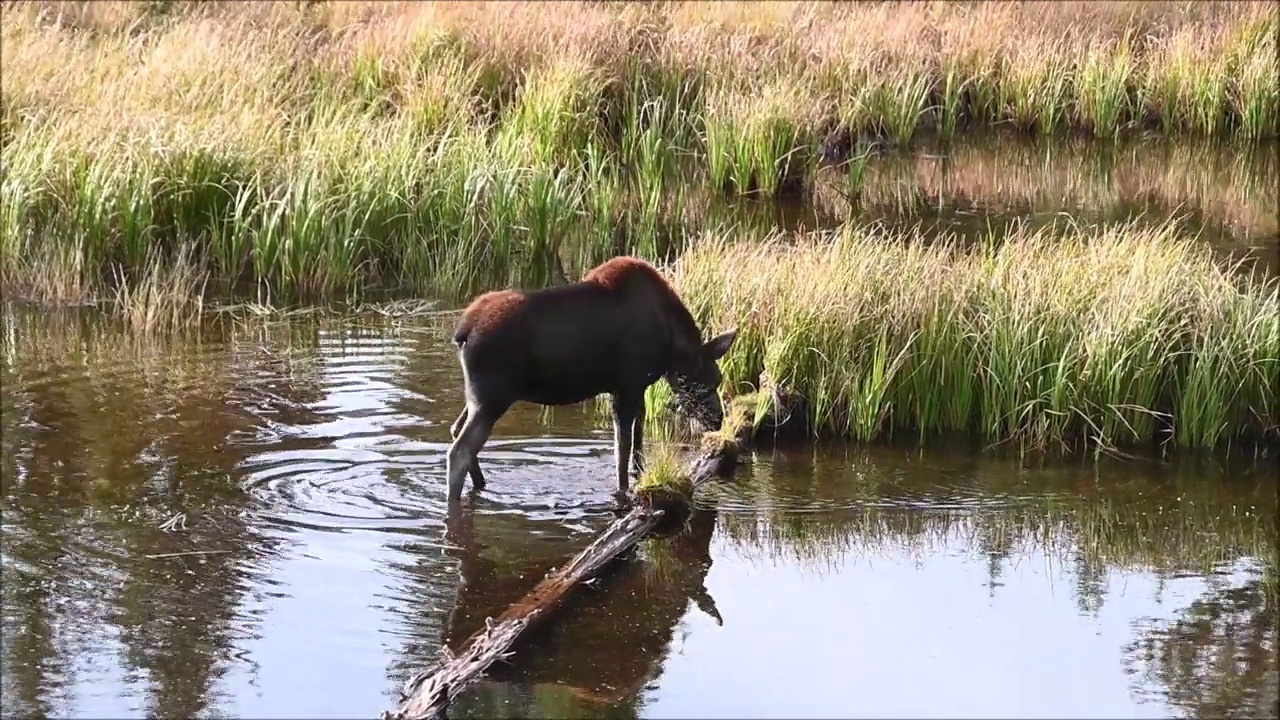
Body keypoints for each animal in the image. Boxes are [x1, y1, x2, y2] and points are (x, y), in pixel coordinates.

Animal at [445, 254, 742, 502]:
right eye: (711, 381)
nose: (719, 419)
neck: (671, 348)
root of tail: (462, 333)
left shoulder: (633, 388)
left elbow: (638, 439)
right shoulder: (626, 387)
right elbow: (622, 448)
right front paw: (623, 490)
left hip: (478, 397)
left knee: (456, 430)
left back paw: (482, 483)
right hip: (492, 399)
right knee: (460, 450)